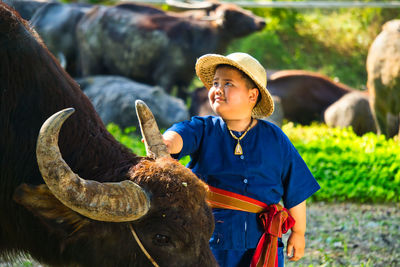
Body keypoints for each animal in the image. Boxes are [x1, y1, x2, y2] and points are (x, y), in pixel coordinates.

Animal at [76, 0, 266, 99]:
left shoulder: (184, 81)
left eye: (238, 8)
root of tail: (86, 18)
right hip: (90, 64)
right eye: (235, 13)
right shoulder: (165, 77)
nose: (261, 21)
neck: (194, 39)